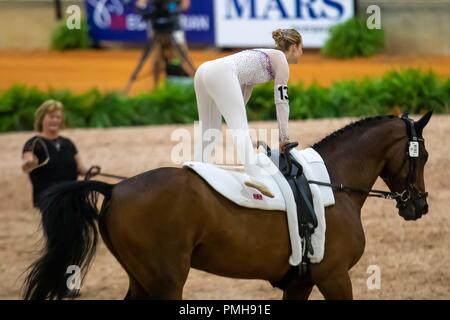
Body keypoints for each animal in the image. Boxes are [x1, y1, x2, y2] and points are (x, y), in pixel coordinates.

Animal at [22, 111, 432, 298]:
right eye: (423, 156)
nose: (419, 206)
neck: (330, 183)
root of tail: (116, 189)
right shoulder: (334, 276)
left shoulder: (301, 282)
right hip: (166, 282)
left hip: (142, 280)